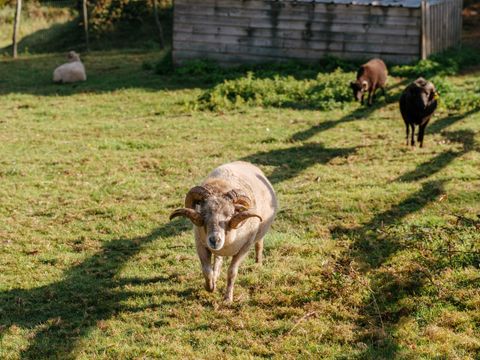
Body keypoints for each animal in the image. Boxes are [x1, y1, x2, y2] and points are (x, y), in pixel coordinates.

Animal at [172, 160, 278, 300]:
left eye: (230, 214)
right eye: (204, 214)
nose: (214, 240)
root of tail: (244, 162)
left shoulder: (244, 247)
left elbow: (232, 272)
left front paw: (228, 298)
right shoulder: (200, 244)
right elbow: (206, 270)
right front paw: (210, 287)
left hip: (259, 235)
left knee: (259, 245)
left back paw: (258, 263)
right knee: (218, 258)